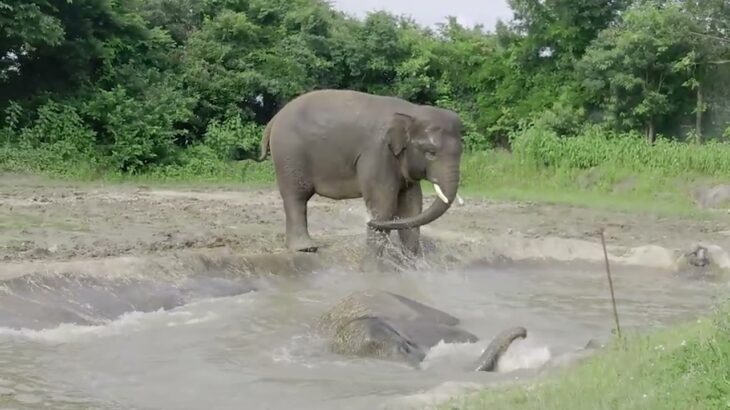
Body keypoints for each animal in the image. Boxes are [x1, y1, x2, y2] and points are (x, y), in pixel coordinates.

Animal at [256, 90, 460, 256]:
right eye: (430, 153)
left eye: (461, 152)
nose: (367, 221)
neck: (412, 112)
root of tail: (276, 118)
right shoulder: (376, 153)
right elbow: (383, 204)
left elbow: (411, 206)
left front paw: (410, 258)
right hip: (289, 154)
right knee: (297, 197)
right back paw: (305, 249)